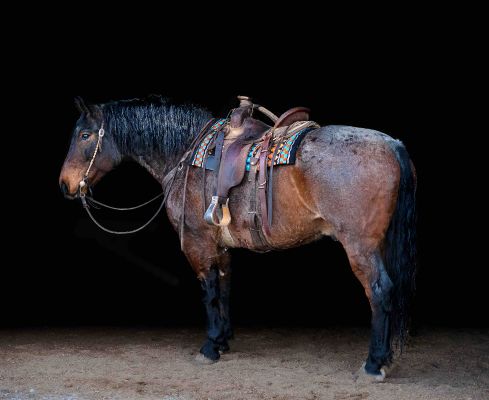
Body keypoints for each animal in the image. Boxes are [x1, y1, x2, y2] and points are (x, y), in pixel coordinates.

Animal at [58, 97, 416, 382]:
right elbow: (224, 287)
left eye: (85, 135)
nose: (65, 184)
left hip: (360, 247)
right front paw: (223, 340)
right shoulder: (221, 246)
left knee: (380, 292)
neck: (186, 153)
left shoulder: (198, 243)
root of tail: (392, 144)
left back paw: (373, 364)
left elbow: (209, 291)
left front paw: (209, 346)